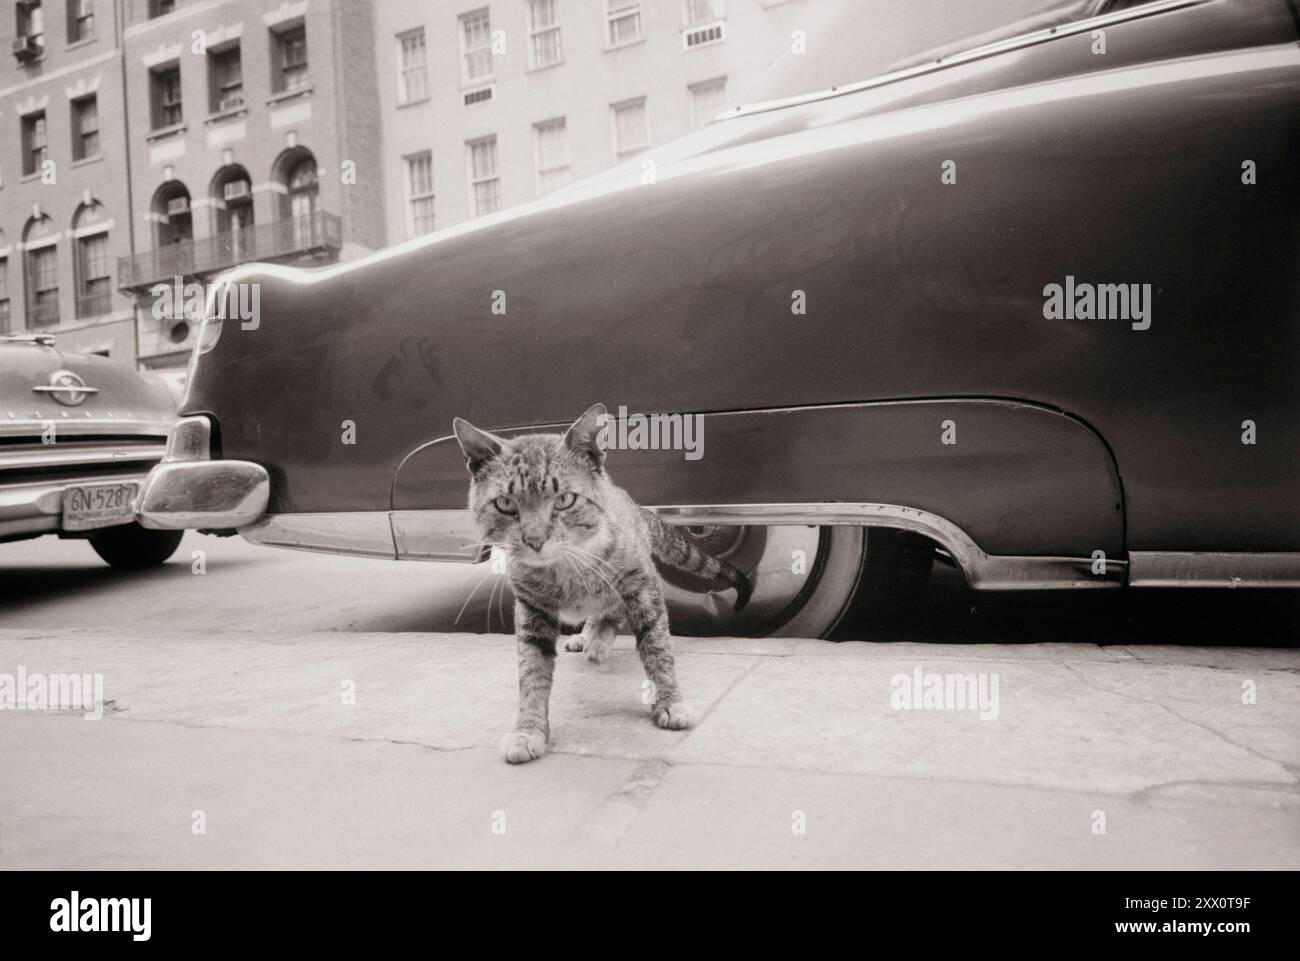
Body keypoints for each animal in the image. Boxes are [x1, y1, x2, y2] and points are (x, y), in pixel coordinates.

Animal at [452, 403, 754, 764]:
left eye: (565, 499)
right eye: (506, 504)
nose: (535, 539)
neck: (565, 569)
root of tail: (632, 504)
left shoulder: (642, 585)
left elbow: (657, 646)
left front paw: (669, 700)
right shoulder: (530, 607)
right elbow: (531, 669)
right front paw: (528, 729)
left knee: (614, 609)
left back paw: (599, 640)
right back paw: (588, 637)